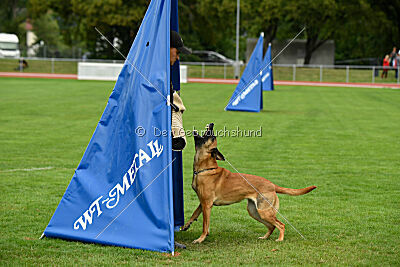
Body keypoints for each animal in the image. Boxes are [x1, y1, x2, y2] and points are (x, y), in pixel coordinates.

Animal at [183, 124, 318, 245]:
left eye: (211, 136)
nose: (211, 124)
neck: (206, 169)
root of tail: (272, 185)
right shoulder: (202, 203)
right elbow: (194, 213)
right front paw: (186, 225)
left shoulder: (207, 204)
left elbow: (205, 225)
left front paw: (200, 239)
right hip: (255, 212)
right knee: (272, 226)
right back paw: (264, 237)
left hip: (264, 212)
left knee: (281, 224)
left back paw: (280, 239)